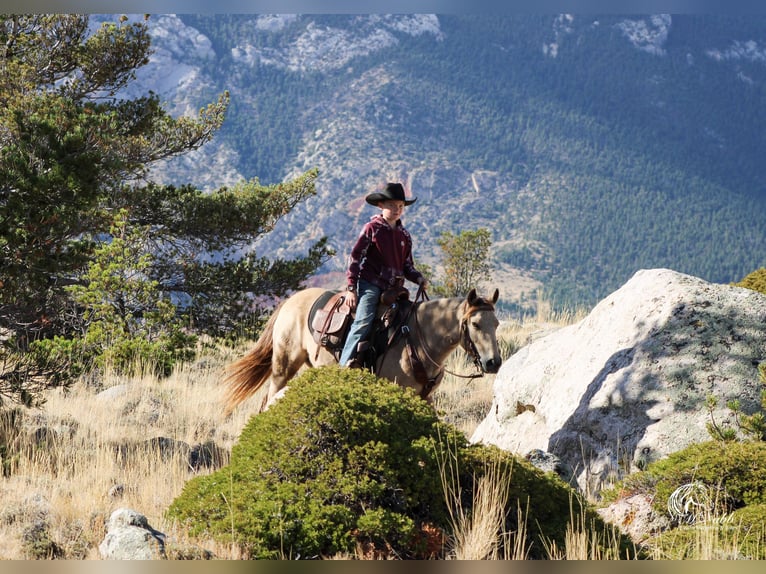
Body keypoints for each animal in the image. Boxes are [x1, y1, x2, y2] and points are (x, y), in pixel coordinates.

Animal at [220, 286, 504, 414]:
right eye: (476, 324)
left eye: (497, 323)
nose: (494, 363)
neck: (418, 335)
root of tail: (289, 301)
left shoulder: (426, 397)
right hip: (283, 366)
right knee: (269, 399)